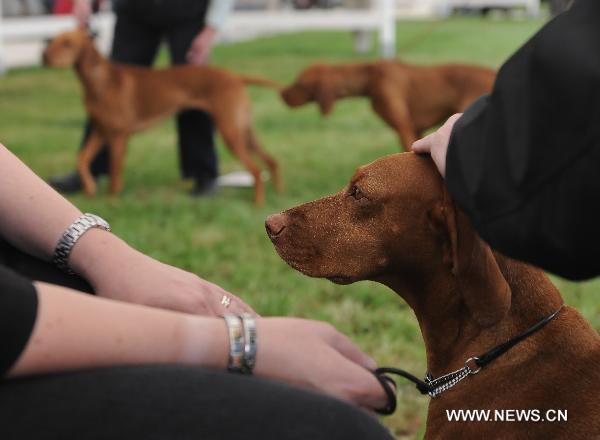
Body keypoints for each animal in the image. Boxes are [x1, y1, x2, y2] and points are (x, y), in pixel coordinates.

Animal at [44, 29, 284, 205]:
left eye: (67, 43)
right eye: (52, 40)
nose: (44, 57)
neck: (100, 80)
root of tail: (235, 77)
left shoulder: (119, 136)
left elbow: (114, 172)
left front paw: (112, 200)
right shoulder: (99, 131)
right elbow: (82, 159)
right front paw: (90, 188)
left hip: (230, 132)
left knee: (256, 170)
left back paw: (257, 203)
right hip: (244, 131)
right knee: (272, 161)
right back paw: (279, 194)